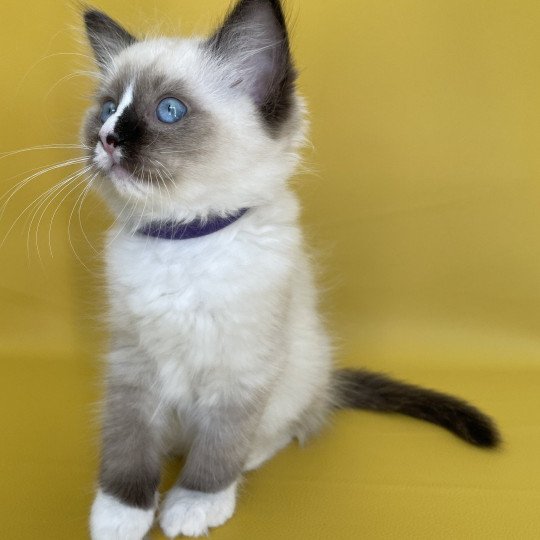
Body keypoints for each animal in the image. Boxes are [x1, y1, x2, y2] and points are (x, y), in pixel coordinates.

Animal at [82, 1, 500, 540]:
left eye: (169, 110)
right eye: (108, 107)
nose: (107, 138)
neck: (186, 238)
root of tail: (328, 379)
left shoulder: (243, 368)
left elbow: (219, 447)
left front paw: (195, 503)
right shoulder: (132, 363)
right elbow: (127, 443)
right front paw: (120, 515)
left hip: (295, 371)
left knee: (285, 428)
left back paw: (246, 461)